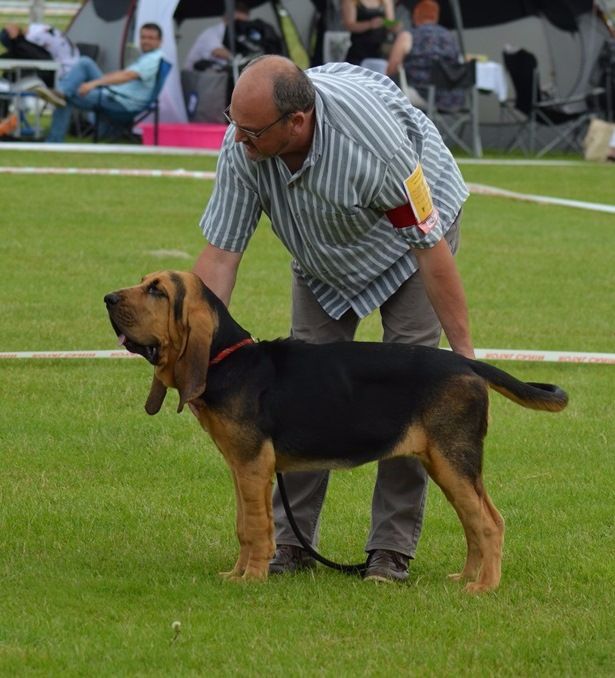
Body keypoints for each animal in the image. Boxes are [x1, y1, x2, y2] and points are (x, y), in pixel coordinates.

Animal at [104, 270, 568, 596]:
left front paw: (250, 579)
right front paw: (236, 572)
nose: (107, 298)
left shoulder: (253, 466)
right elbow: (243, 525)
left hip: (454, 460)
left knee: (490, 523)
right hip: (444, 465)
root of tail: (467, 363)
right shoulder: (241, 467)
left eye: (157, 291)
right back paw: (465, 577)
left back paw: (484, 586)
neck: (228, 360)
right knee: (474, 522)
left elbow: (255, 527)